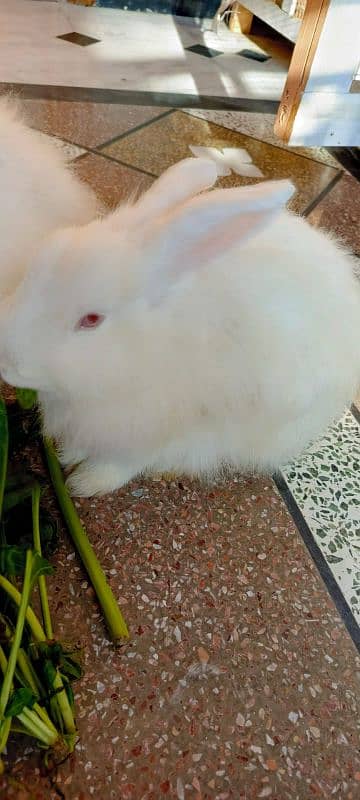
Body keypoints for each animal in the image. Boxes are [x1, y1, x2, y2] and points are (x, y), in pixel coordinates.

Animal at [0, 155, 360, 494]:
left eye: (91, 320)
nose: (6, 364)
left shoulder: (161, 429)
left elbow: (124, 462)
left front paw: (85, 483)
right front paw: (68, 456)